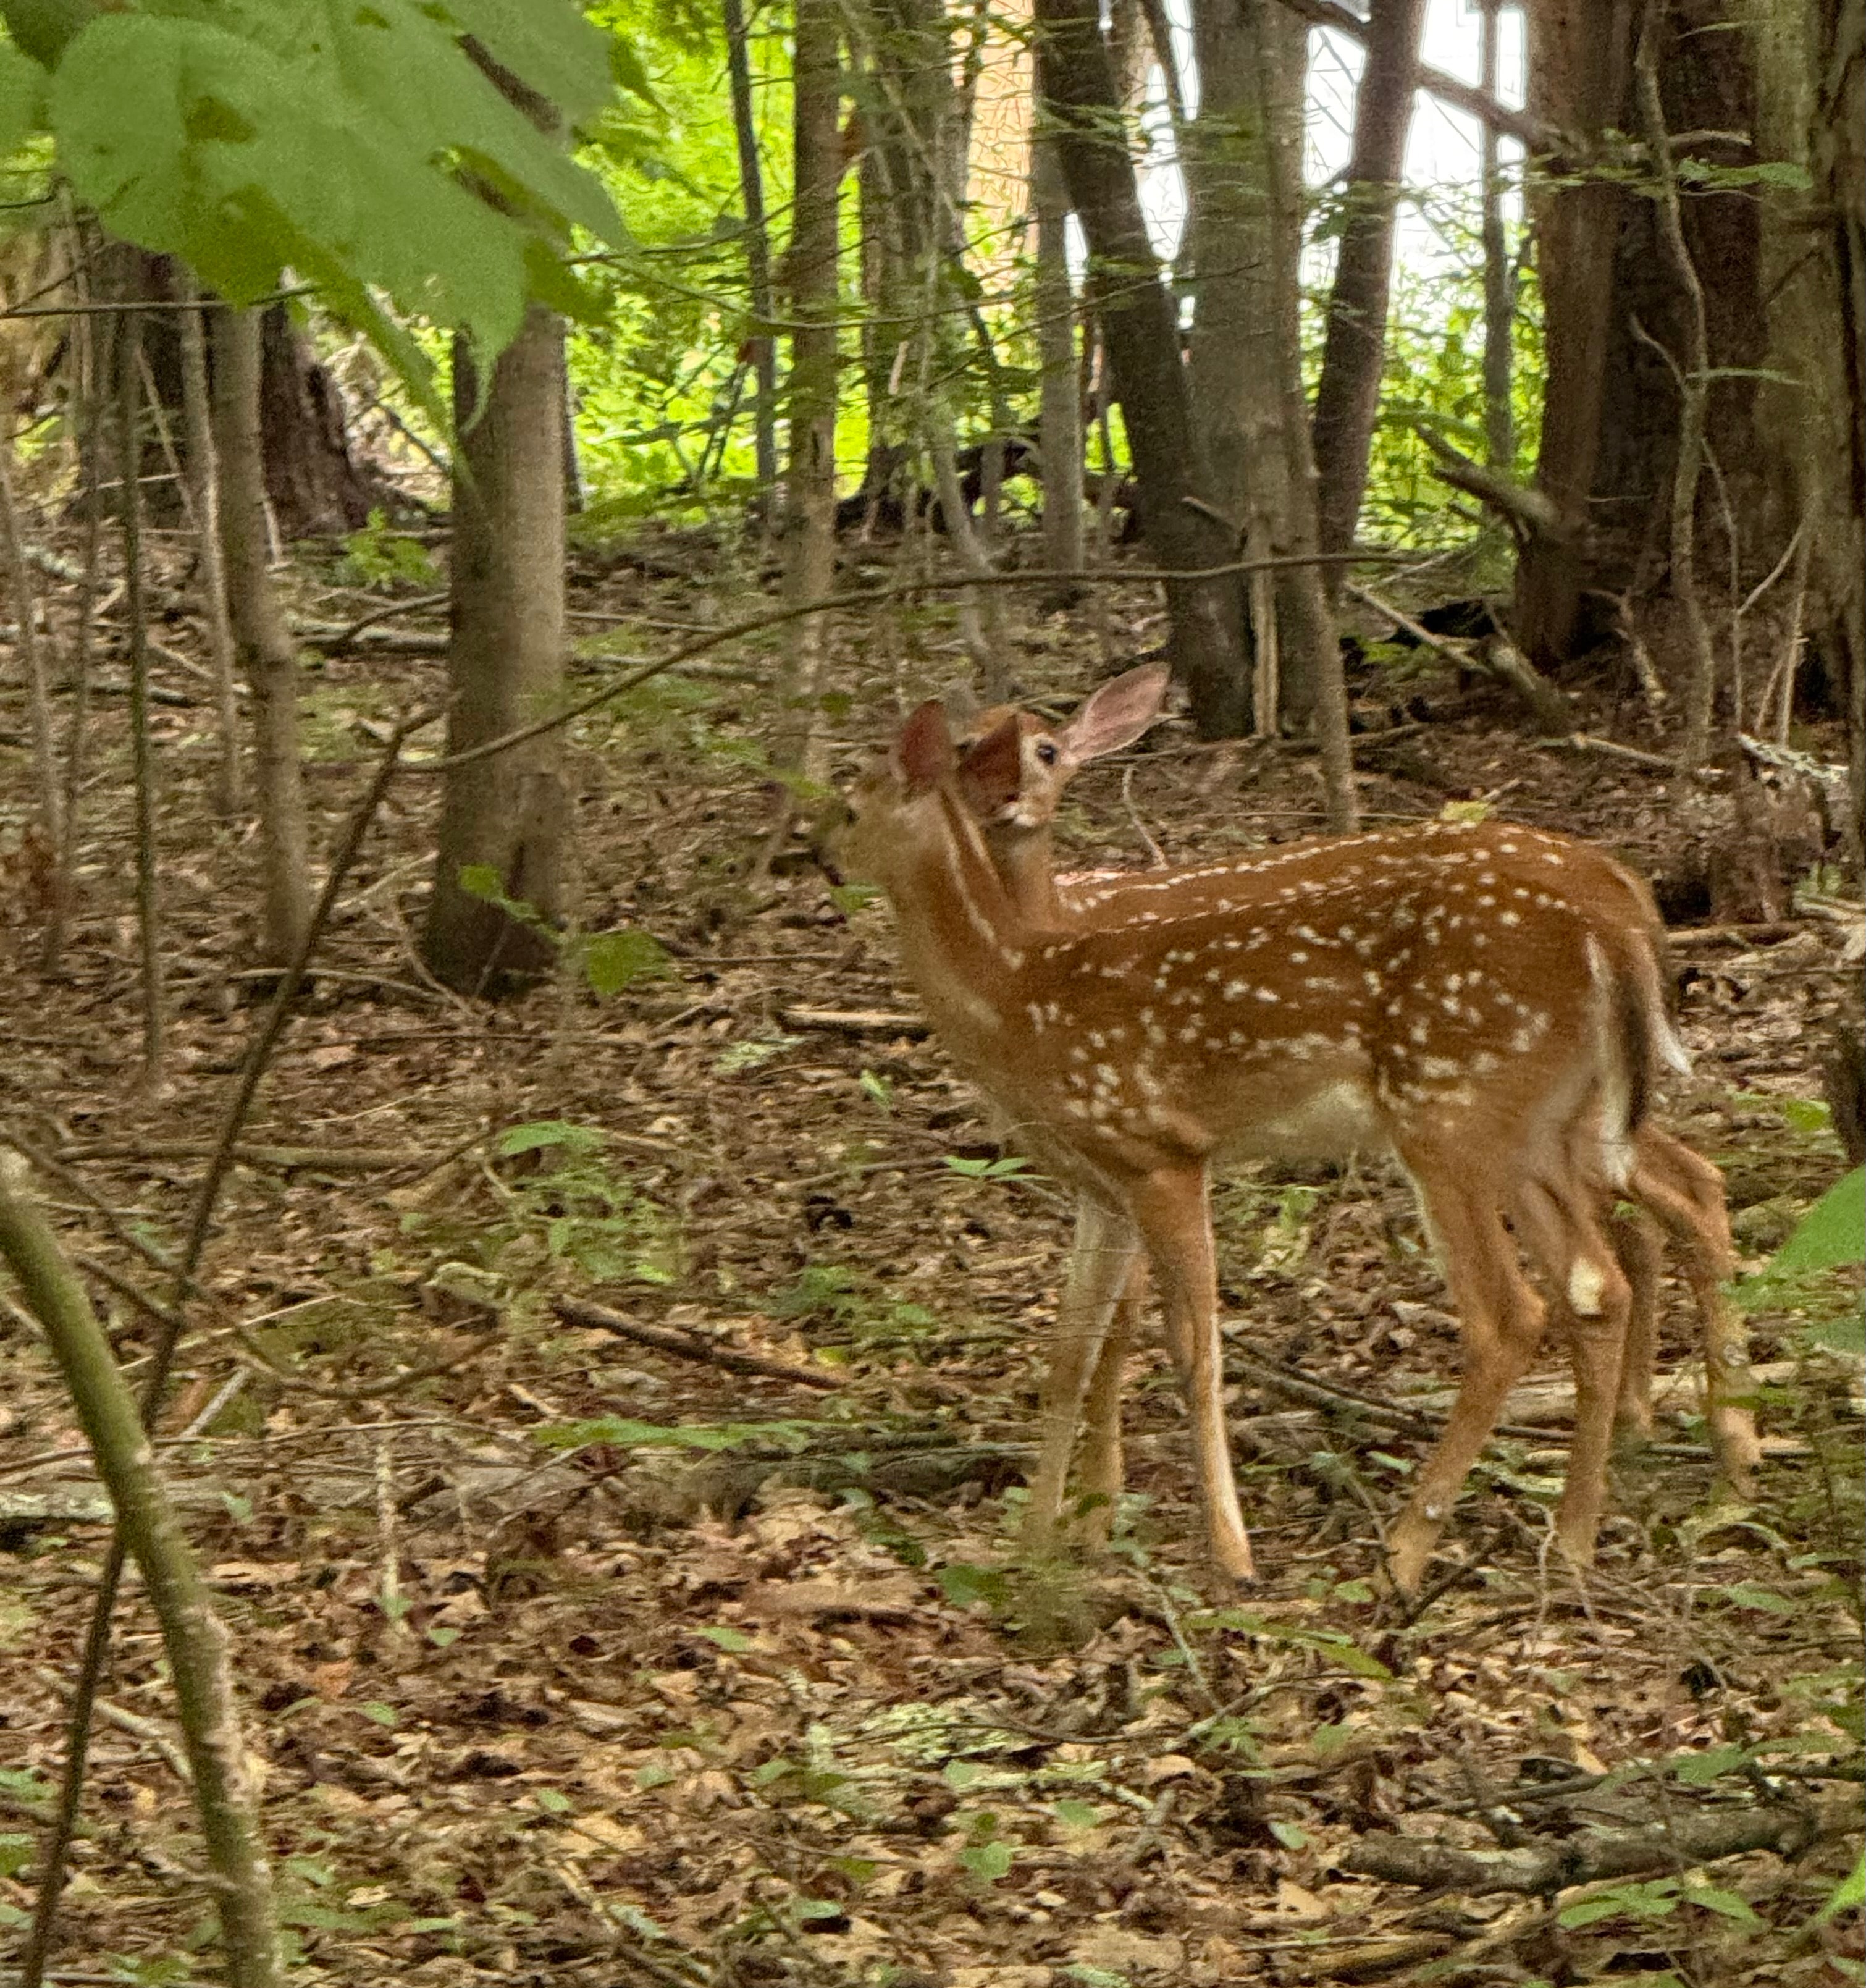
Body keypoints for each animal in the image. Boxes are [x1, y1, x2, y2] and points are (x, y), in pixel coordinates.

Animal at [839, 694, 1756, 1594]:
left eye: (1047, 749)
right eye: (968, 746)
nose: (997, 800)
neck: (1025, 975)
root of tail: (1620, 902)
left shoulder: (1156, 1149)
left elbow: (1176, 1344)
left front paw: (1187, 1546)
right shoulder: (1102, 1178)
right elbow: (1079, 1347)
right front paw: (1062, 1535)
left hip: (1452, 1115)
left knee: (1526, 1303)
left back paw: (1415, 1552)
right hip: (1552, 1121)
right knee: (1644, 1232)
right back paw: (1621, 1509)